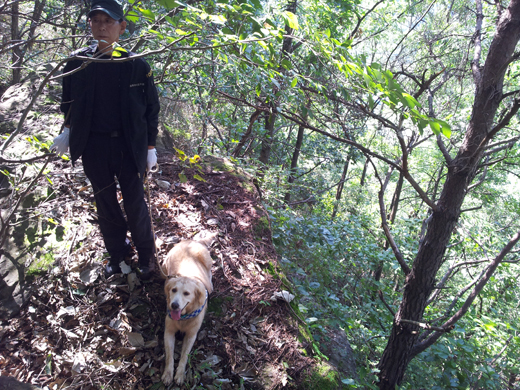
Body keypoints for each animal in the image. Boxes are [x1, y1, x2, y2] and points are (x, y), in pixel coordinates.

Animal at [159, 233, 214, 386]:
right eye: (173, 290)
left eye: (186, 293)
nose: (174, 305)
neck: (184, 317)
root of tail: (191, 241)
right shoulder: (168, 331)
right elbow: (169, 355)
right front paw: (168, 374)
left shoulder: (191, 335)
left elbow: (184, 356)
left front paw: (179, 374)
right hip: (164, 266)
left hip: (206, 259)